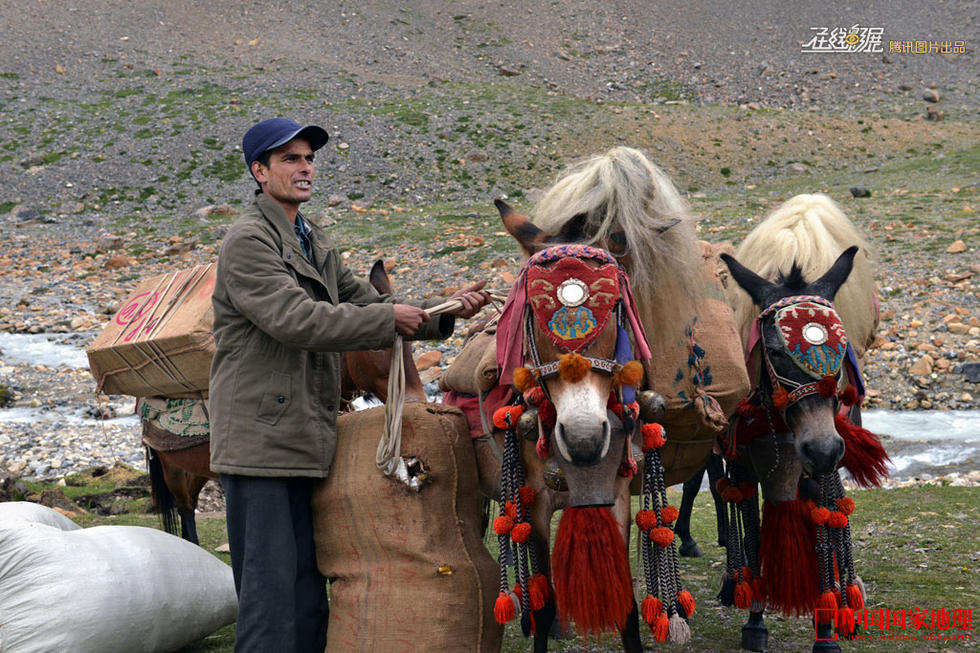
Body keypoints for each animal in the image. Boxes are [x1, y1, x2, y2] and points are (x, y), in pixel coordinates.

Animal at [142, 262, 424, 544]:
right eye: (376, 346)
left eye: (412, 344)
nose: (415, 400)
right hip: (171, 467)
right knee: (184, 506)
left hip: (197, 467)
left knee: (190, 500)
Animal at [444, 145, 752, 648]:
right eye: (532, 313)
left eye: (618, 311)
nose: (584, 437)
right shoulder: (534, 499)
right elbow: (544, 599)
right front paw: (540, 623)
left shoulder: (618, 496)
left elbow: (625, 607)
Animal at [716, 191, 892, 648]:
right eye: (776, 352)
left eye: (840, 349)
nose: (823, 447)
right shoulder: (746, 460)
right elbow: (753, 528)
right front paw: (755, 618)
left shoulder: (821, 458)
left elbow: (821, 520)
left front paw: (827, 624)